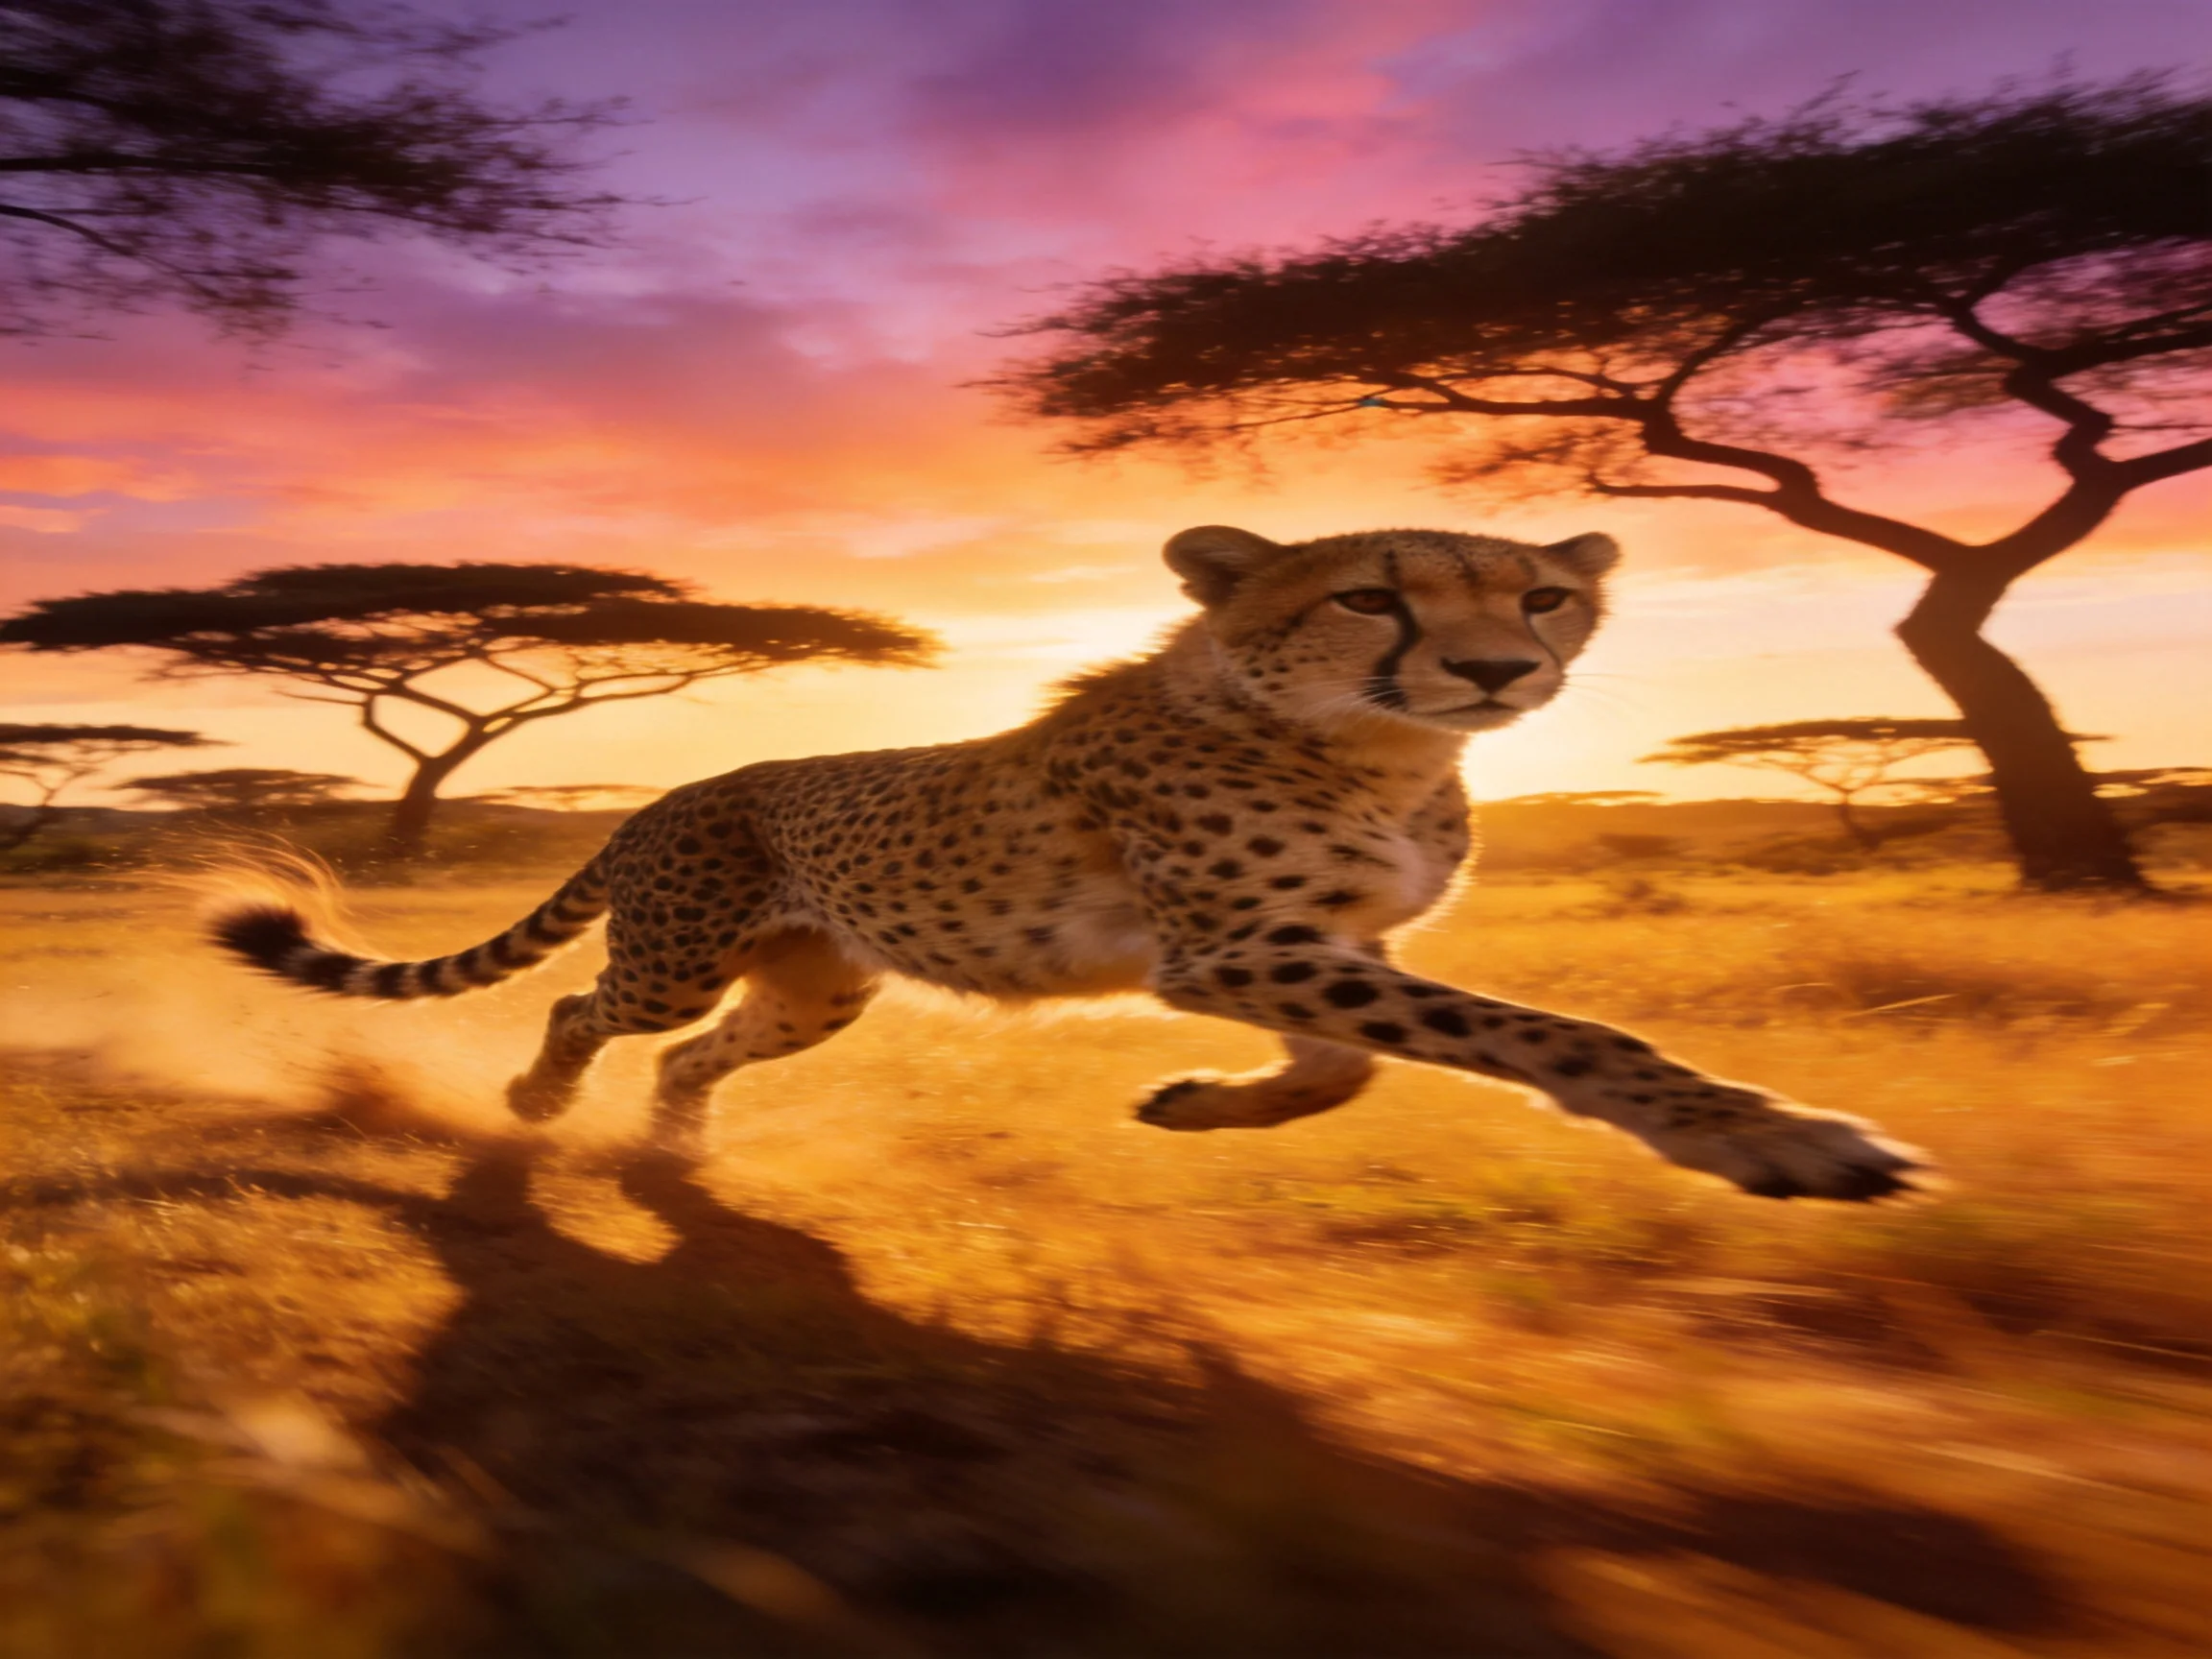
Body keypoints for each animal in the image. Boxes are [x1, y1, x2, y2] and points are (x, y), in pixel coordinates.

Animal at [214, 523, 1925, 1201]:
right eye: (1372, 596)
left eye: (1545, 598)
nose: (1502, 668)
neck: (1377, 751)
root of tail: (687, 781)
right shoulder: (1232, 948)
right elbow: (1542, 1033)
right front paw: (1765, 1136)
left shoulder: (1310, 953)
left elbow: (1348, 1071)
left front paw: (1201, 1105)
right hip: (679, 949)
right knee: (587, 1010)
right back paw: (531, 1107)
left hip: (818, 988)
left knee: (698, 1054)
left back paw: (678, 1151)